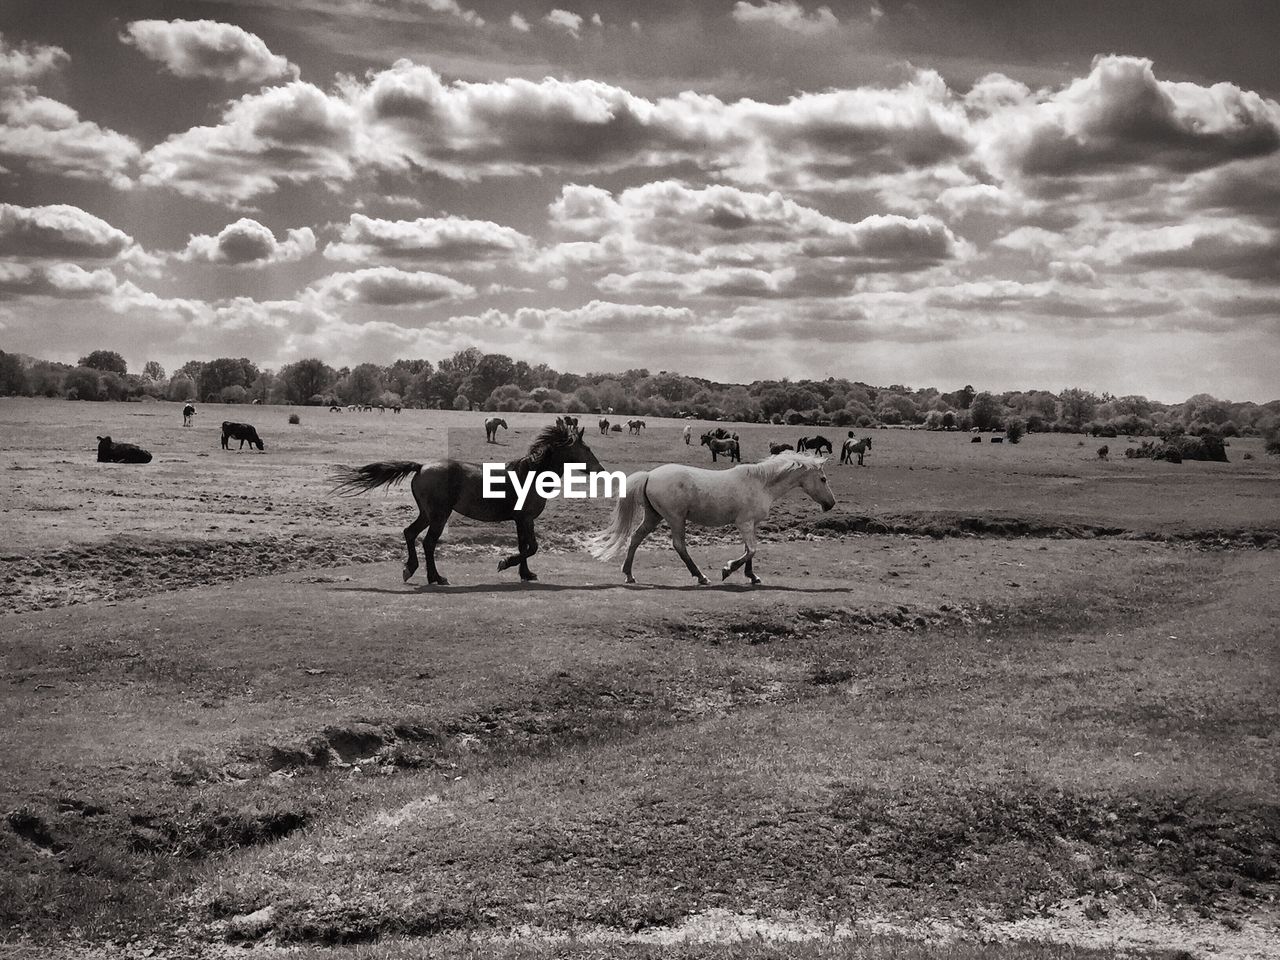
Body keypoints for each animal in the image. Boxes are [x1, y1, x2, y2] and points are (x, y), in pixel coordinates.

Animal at [332, 422, 606, 586]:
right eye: (586, 448)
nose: (601, 470)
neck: (532, 473)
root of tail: (421, 466)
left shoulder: (520, 520)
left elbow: (524, 546)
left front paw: (525, 574)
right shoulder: (526, 518)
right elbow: (532, 547)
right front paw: (504, 563)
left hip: (427, 514)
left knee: (410, 533)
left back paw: (410, 569)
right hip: (439, 516)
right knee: (428, 542)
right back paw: (435, 577)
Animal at [586, 450, 834, 586]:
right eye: (822, 479)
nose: (830, 504)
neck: (761, 484)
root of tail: (649, 475)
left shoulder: (750, 524)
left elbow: (749, 551)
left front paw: (752, 576)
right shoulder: (744, 523)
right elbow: (751, 550)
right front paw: (728, 569)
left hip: (654, 516)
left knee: (636, 538)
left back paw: (629, 574)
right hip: (675, 518)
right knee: (679, 545)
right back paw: (701, 576)